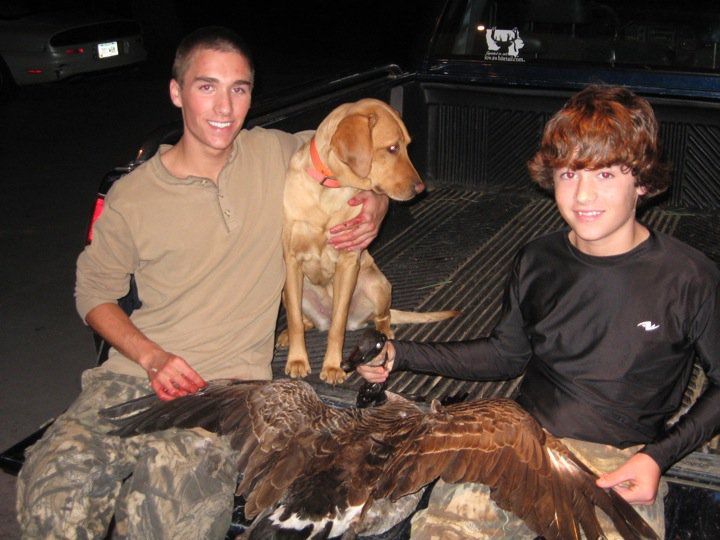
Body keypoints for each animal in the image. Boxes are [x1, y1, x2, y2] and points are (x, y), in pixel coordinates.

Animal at [280, 98, 456, 384]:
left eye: (408, 146)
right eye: (393, 148)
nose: (421, 188)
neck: (328, 189)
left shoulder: (349, 263)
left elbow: (338, 325)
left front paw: (332, 365)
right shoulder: (292, 262)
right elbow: (295, 320)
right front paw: (297, 359)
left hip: (377, 284)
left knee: (381, 317)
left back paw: (386, 331)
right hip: (292, 290)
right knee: (304, 321)